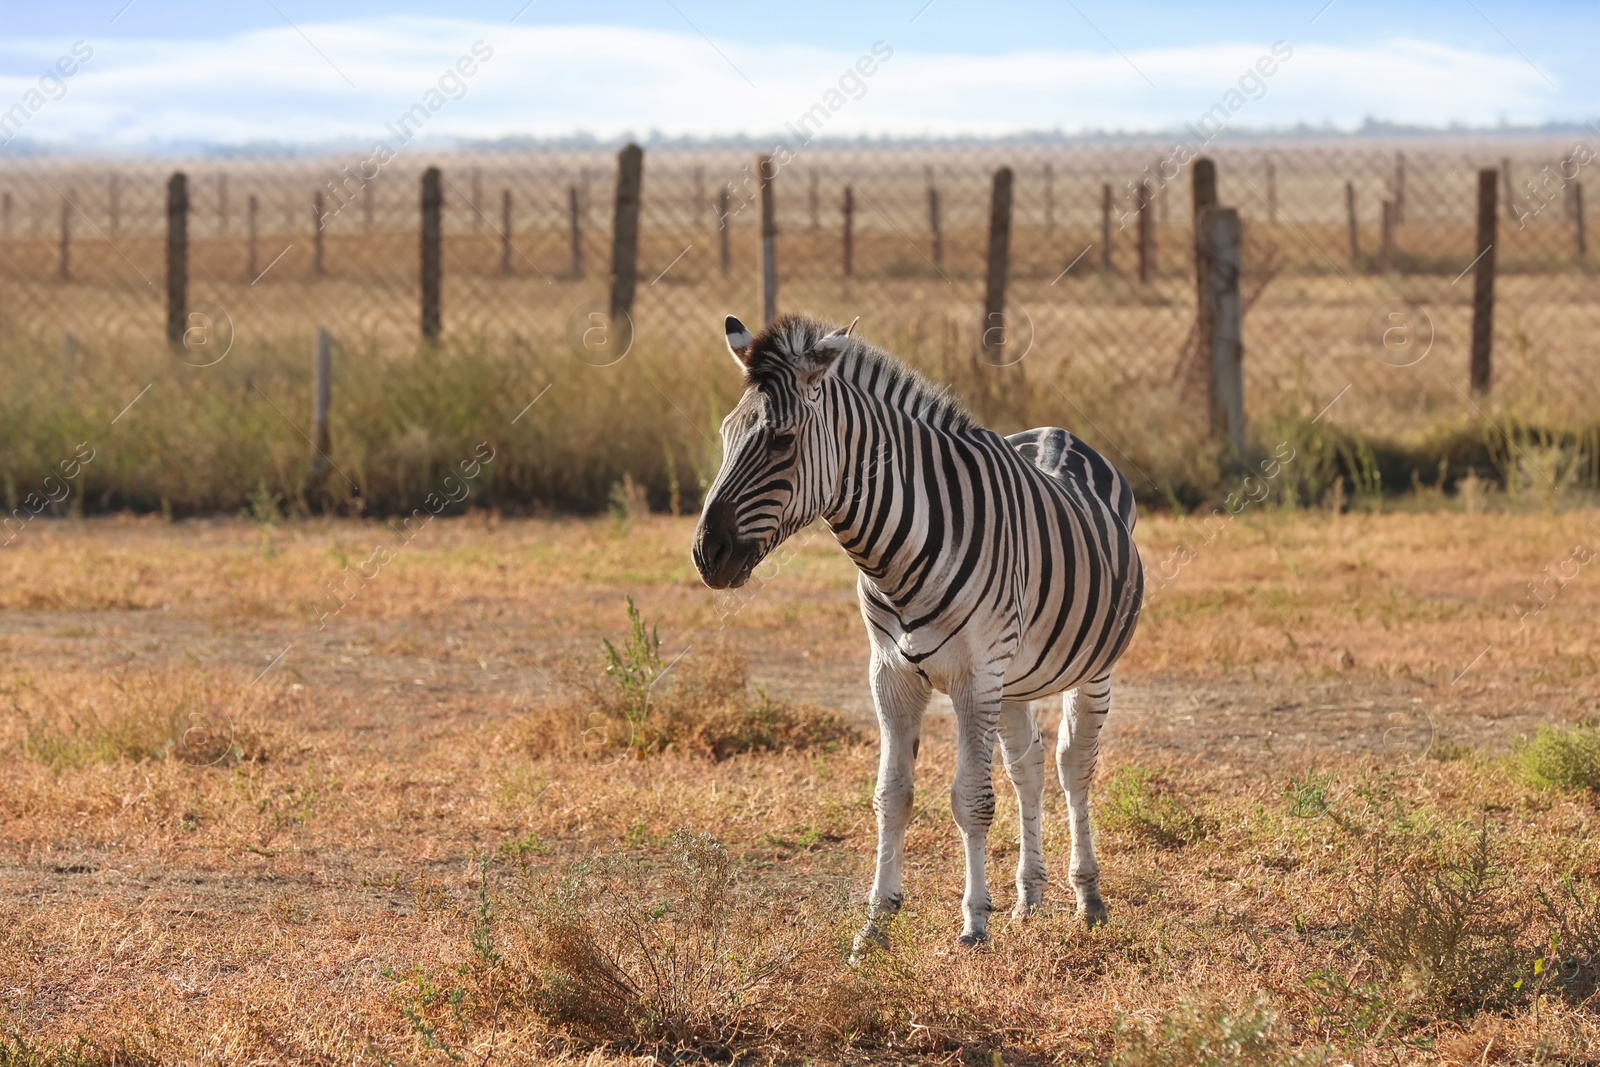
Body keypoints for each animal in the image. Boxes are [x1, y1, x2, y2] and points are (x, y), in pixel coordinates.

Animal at [694, 310, 1145, 953]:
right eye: (727, 433)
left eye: (781, 440)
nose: (707, 555)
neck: (896, 554)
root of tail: (1056, 431)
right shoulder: (892, 674)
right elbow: (893, 796)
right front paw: (877, 923)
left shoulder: (975, 677)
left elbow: (972, 800)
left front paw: (974, 923)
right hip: (1016, 678)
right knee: (1029, 769)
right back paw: (1029, 898)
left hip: (1090, 669)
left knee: (1072, 767)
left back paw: (1088, 898)